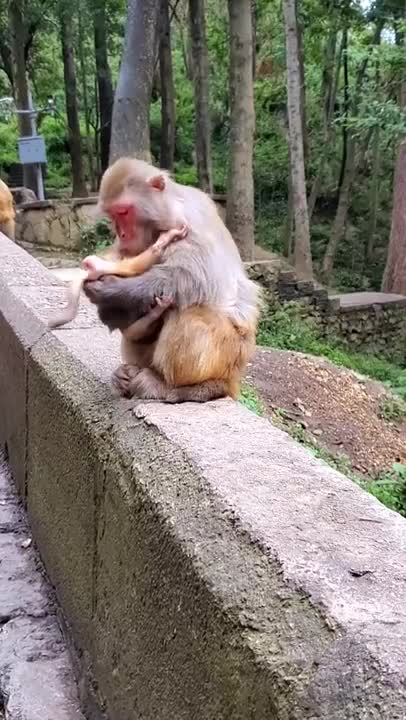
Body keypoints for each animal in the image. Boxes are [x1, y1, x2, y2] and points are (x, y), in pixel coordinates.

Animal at [83, 157, 261, 403]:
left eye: (124, 212)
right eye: (112, 216)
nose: (122, 235)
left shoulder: (187, 223)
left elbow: (189, 277)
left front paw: (113, 290)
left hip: (229, 352)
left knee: (188, 312)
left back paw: (182, 387)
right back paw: (126, 370)